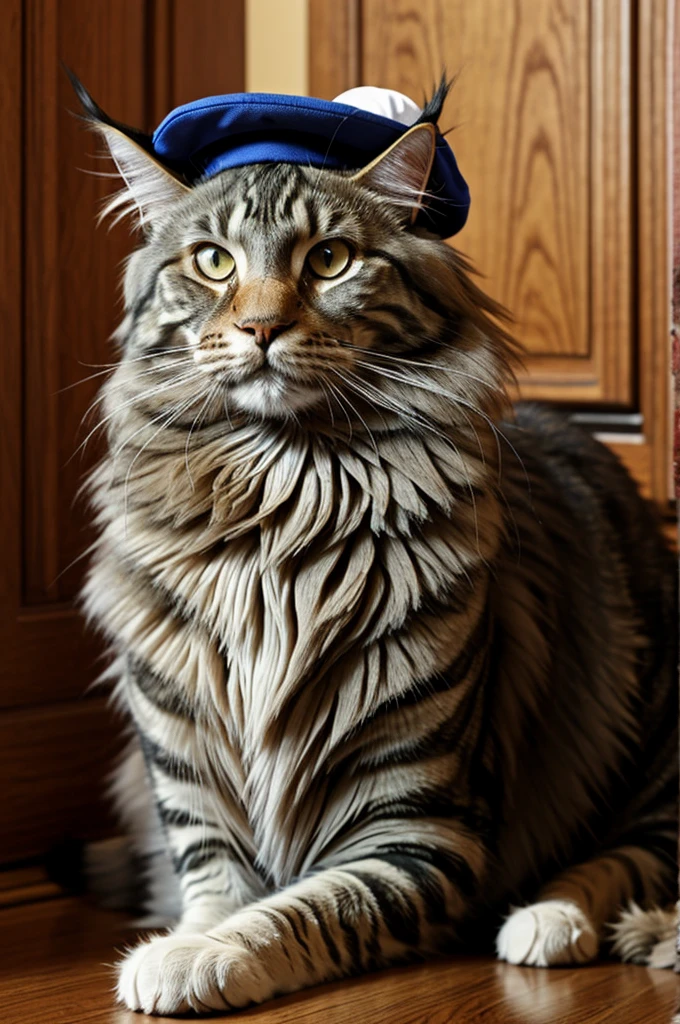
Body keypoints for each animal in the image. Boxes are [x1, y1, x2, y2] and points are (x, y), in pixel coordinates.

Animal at [74, 81, 675, 1015]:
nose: (259, 329)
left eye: (328, 260)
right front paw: (181, 940)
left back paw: (560, 922)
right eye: (213, 262)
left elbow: (299, 912)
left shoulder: (417, 829)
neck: (277, 505)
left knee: (639, 848)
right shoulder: (191, 784)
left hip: (646, 731)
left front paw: (190, 959)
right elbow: (216, 891)